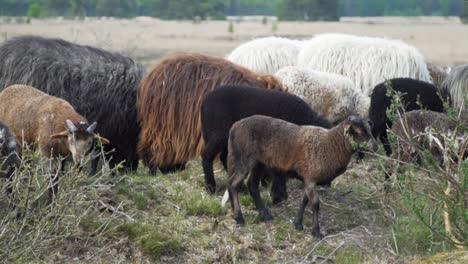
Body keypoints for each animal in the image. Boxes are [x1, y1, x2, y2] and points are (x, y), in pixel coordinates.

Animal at [201, 85, 332, 202]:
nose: (327, 184)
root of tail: (205, 100)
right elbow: (279, 171)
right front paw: (278, 195)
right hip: (218, 134)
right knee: (207, 155)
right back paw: (211, 187)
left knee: (225, 158)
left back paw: (241, 188)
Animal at [226, 114, 376, 238]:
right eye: (359, 132)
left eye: (369, 129)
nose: (375, 147)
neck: (330, 144)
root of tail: (234, 126)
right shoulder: (310, 178)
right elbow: (315, 203)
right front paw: (316, 232)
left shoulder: (308, 179)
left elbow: (305, 200)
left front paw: (298, 223)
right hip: (244, 159)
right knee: (233, 184)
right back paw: (239, 218)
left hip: (259, 163)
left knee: (251, 185)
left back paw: (266, 215)